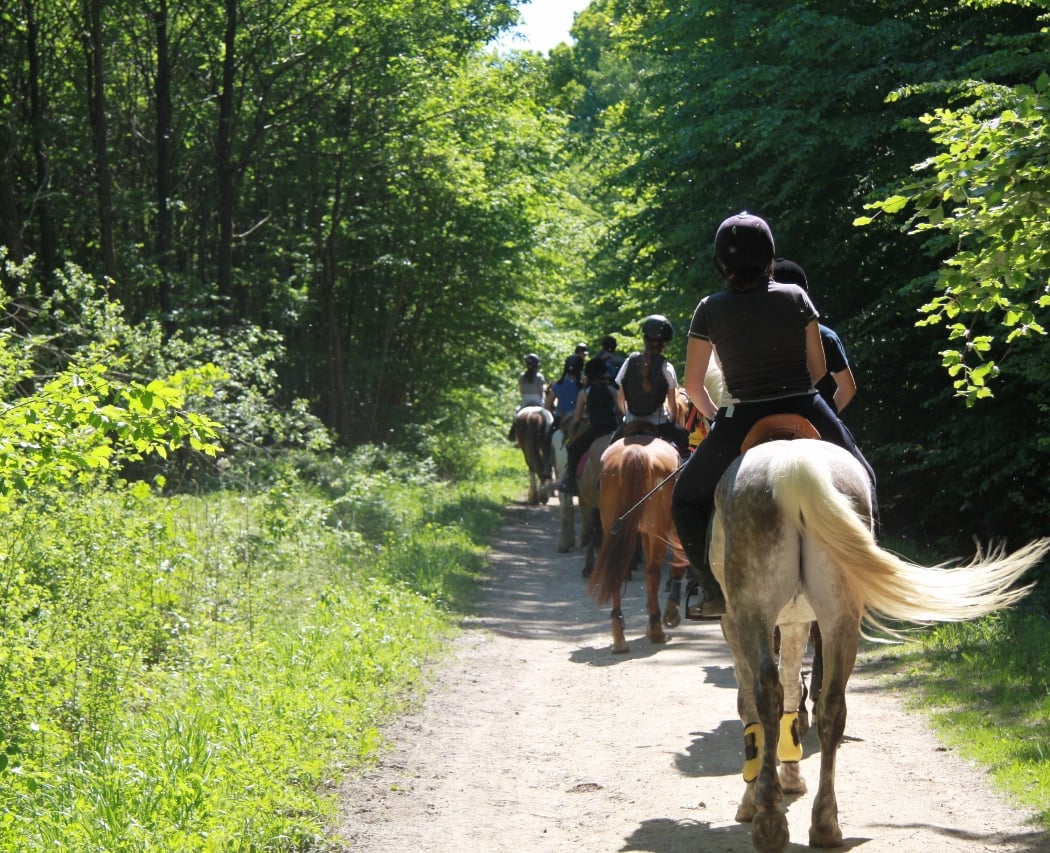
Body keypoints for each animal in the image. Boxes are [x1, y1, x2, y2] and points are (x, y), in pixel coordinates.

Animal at [586, 431, 690, 654]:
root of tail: (635, 452)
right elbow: (678, 564)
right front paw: (670, 613)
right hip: (657, 531)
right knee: (653, 573)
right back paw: (656, 629)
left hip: (615, 530)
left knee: (616, 571)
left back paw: (619, 636)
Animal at [708, 436, 1049, 853]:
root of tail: (793, 462)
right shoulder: (797, 620)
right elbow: (793, 688)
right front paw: (790, 776)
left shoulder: (734, 621)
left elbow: (752, 703)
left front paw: (752, 798)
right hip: (839, 617)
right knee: (831, 708)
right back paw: (825, 825)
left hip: (754, 612)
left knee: (767, 697)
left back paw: (769, 821)